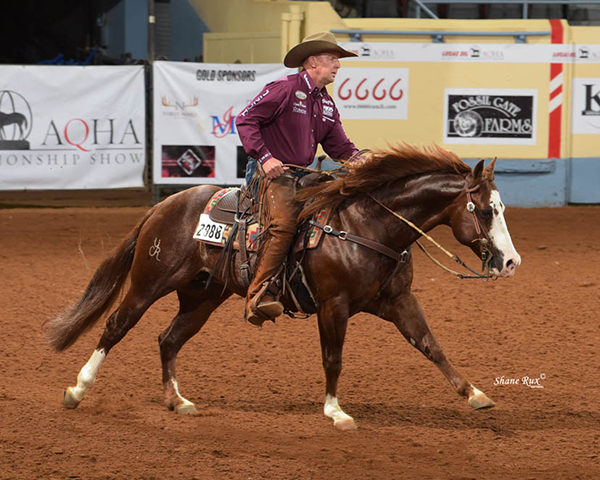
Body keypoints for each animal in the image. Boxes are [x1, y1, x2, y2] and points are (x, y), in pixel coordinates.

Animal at [43, 144, 520, 430]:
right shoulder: (333, 305)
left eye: (501, 207)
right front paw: (335, 411)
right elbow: (333, 358)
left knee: (168, 339)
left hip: (202, 297)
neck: (366, 226)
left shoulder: (399, 301)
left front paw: (475, 394)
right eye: (484, 210)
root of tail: (164, 204)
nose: (511, 262)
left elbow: (430, 344)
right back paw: (77, 389)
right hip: (149, 282)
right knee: (115, 326)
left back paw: (177, 401)